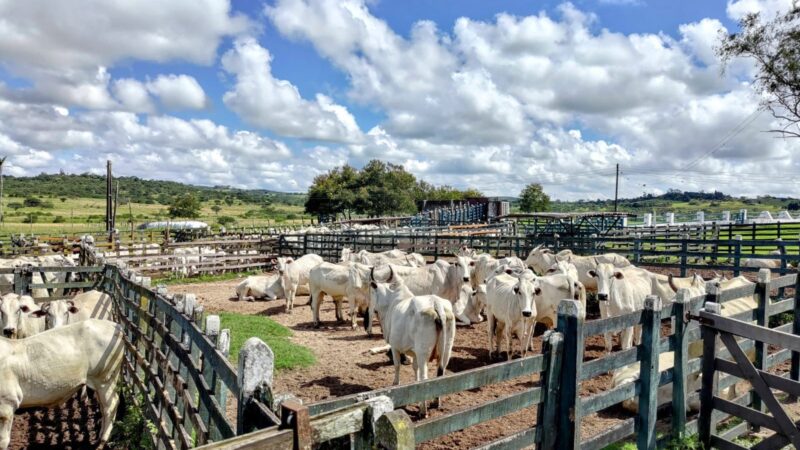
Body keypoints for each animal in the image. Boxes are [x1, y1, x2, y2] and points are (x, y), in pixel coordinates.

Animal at [0, 318, 125, 448]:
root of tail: (115, 325)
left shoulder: (7, 404)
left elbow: (3, 440)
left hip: (104, 378)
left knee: (110, 406)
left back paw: (102, 441)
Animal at [366, 268, 454, 414]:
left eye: (371, 292)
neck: (392, 303)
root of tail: (437, 304)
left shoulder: (395, 347)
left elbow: (397, 365)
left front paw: (396, 383)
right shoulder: (414, 352)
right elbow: (414, 368)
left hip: (423, 352)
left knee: (425, 377)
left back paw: (423, 410)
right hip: (446, 351)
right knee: (440, 374)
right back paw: (436, 402)